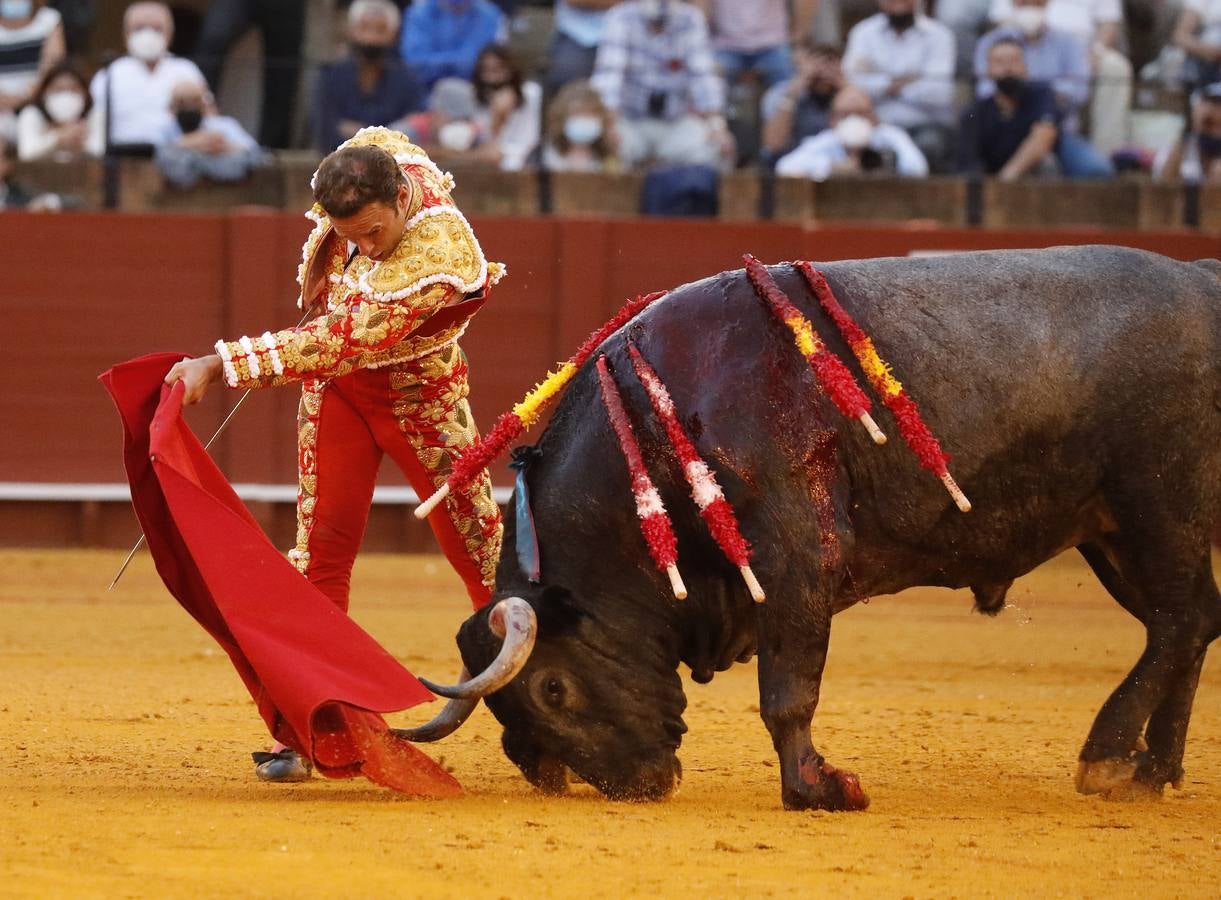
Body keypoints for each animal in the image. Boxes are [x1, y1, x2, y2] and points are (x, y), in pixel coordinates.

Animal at [402, 244, 1221, 805]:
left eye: (552, 690)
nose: (640, 784)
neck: (658, 417)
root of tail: (1199, 279)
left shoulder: (797, 559)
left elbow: (788, 686)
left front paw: (819, 789)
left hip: (1160, 508)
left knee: (1181, 621)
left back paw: (1107, 758)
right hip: (1114, 533)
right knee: (1186, 622)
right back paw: (1154, 771)